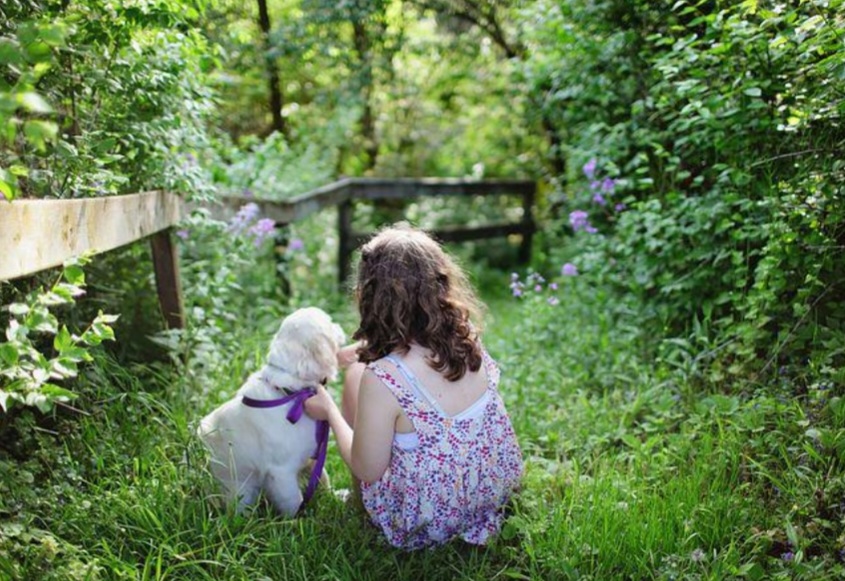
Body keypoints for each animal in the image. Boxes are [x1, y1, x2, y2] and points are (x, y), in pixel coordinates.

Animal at [196, 306, 344, 516]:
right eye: (330, 323)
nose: (340, 326)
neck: (292, 393)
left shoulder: (312, 455)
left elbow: (323, 478)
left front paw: (336, 498)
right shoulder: (281, 472)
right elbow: (294, 501)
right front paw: (300, 520)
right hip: (240, 490)